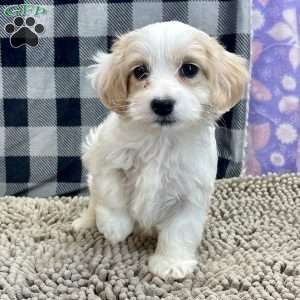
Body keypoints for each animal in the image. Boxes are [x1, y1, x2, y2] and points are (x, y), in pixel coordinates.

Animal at [73, 20, 248, 278]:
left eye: (189, 69)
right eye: (139, 71)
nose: (162, 104)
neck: (161, 140)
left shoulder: (191, 192)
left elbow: (180, 230)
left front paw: (171, 263)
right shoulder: (104, 156)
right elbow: (111, 190)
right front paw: (115, 226)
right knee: (94, 201)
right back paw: (85, 223)